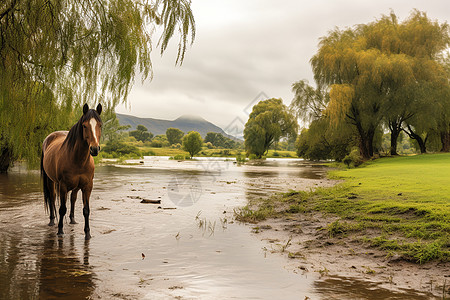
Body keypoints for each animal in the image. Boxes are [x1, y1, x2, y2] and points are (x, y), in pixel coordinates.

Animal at [40, 103, 102, 239]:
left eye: (100, 125)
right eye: (84, 126)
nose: (94, 149)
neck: (78, 160)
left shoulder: (87, 186)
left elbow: (86, 210)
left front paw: (87, 233)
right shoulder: (62, 186)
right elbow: (62, 209)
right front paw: (60, 231)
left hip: (76, 186)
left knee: (73, 198)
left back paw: (72, 219)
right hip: (51, 181)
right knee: (52, 198)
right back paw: (52, 221)